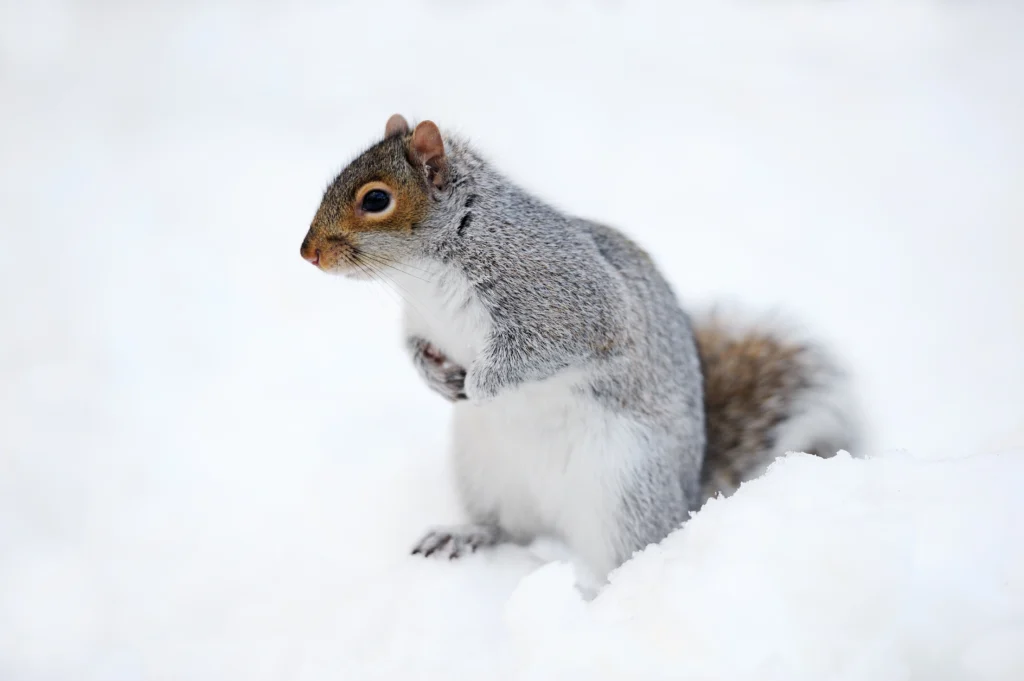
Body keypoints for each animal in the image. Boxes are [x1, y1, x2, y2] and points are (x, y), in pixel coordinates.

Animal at [299, 114, 861, 583]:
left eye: (376, 200)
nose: (307, 253)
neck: (425, 274)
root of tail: (685, 505)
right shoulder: (422, 321)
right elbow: (414, 345)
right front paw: (433, 376)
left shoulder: (567, 297)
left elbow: (546, 346)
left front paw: (480, 384)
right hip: (484, 474)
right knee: (507, 529)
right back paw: (466, 535)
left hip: (623, 492)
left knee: (625, 557)